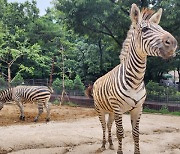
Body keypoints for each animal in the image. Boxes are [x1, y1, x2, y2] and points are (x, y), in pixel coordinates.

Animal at [86, 3, 177, 154]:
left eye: (161, 28)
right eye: (145, 29)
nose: (174, 43)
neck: (136, 80)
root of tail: (97, 81)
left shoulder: (138, 108)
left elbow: (135, 133)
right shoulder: (118, 108)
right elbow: (120, 132)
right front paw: (119, 151)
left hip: (111, 110)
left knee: (109, 125)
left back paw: (110, 144)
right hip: (100, 108)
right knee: (104, 126)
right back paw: (103, 145)